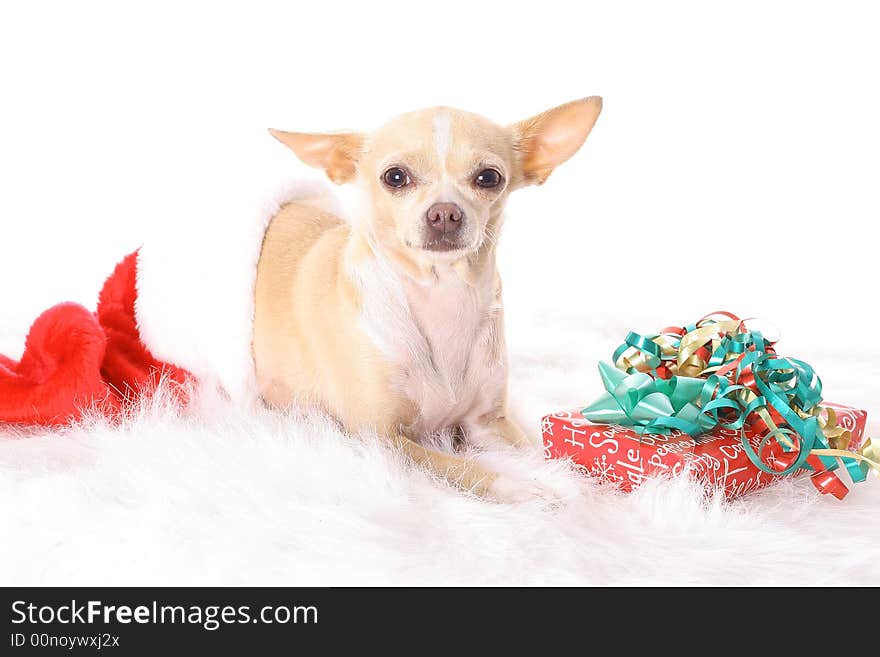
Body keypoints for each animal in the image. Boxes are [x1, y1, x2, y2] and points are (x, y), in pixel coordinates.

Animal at [251, 96, 600, 502]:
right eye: (395, 177)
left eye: (489, 177)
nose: (445, 213)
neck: (443, 297)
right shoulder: (382, 439)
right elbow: (464, 468)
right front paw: (525, 488)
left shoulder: (488, 424)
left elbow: (533, 452)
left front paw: (570, 479)